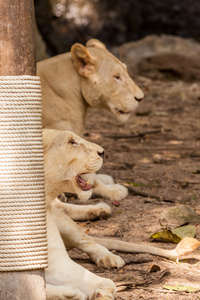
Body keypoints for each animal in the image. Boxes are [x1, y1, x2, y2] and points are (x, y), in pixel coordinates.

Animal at [43, 130, 200, 300]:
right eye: (72, 142)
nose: (103, 152)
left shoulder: (59, 263)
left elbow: (99, 281)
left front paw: (99, 292)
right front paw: (72, 294)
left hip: (68, 226)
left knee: (89, 241)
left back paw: (109, 256)